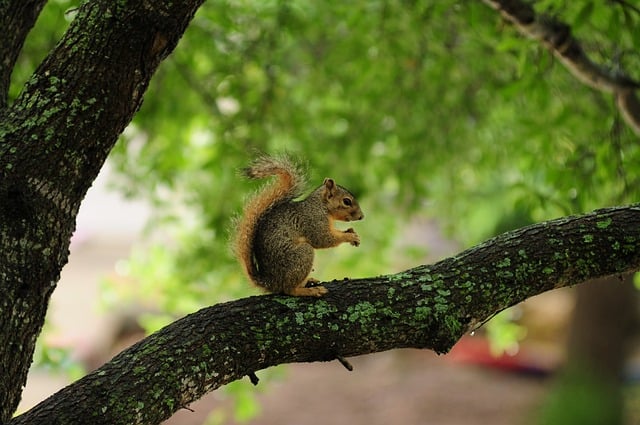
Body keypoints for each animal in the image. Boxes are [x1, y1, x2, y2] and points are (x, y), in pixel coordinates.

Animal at [232, 154, 364, 297]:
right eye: (346, 201)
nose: (361, 216)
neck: (321, 206)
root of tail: (271, 282)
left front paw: (351, 232)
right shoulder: (313, 220)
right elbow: (322, 239)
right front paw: (350, 237)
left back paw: (309, 281)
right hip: (301, 256)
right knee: (289, 289)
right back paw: (309, 290)